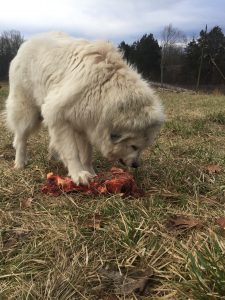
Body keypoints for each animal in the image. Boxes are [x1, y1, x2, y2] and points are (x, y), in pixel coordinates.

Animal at [6, 31, 164, 185]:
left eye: (142, 147)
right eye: (133, 146)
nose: (136, 165)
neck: (105, 88)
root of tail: (27, 42)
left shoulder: (86, 123)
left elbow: (86, 153)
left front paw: (91, 172)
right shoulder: (59, 117)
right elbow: (71, 151)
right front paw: (78, 174)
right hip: (27, 112)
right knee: (21, 137)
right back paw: (20, 163)